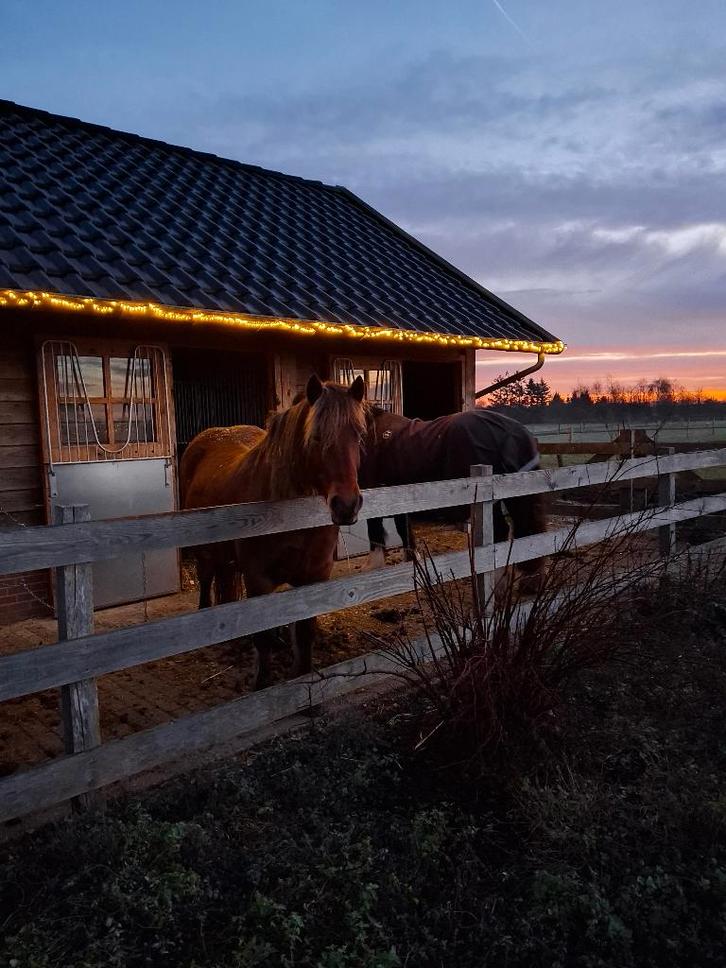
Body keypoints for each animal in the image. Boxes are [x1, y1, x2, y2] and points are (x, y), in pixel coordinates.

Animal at [180, 373, 367, 688]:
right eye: (316, 437)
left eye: (358, 435)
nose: (347, 506)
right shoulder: (258, 577)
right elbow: (262, 637)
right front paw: (262, 685)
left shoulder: (315, 575)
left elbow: (303, 633)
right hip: (206, 552)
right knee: (206, 579)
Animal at [360, 407, 546, 584]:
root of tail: (513, 432)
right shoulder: (399, 500)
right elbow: (403, 530)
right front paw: (413, 563)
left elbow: (375, 531)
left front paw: (373, 566)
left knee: (503, 531)